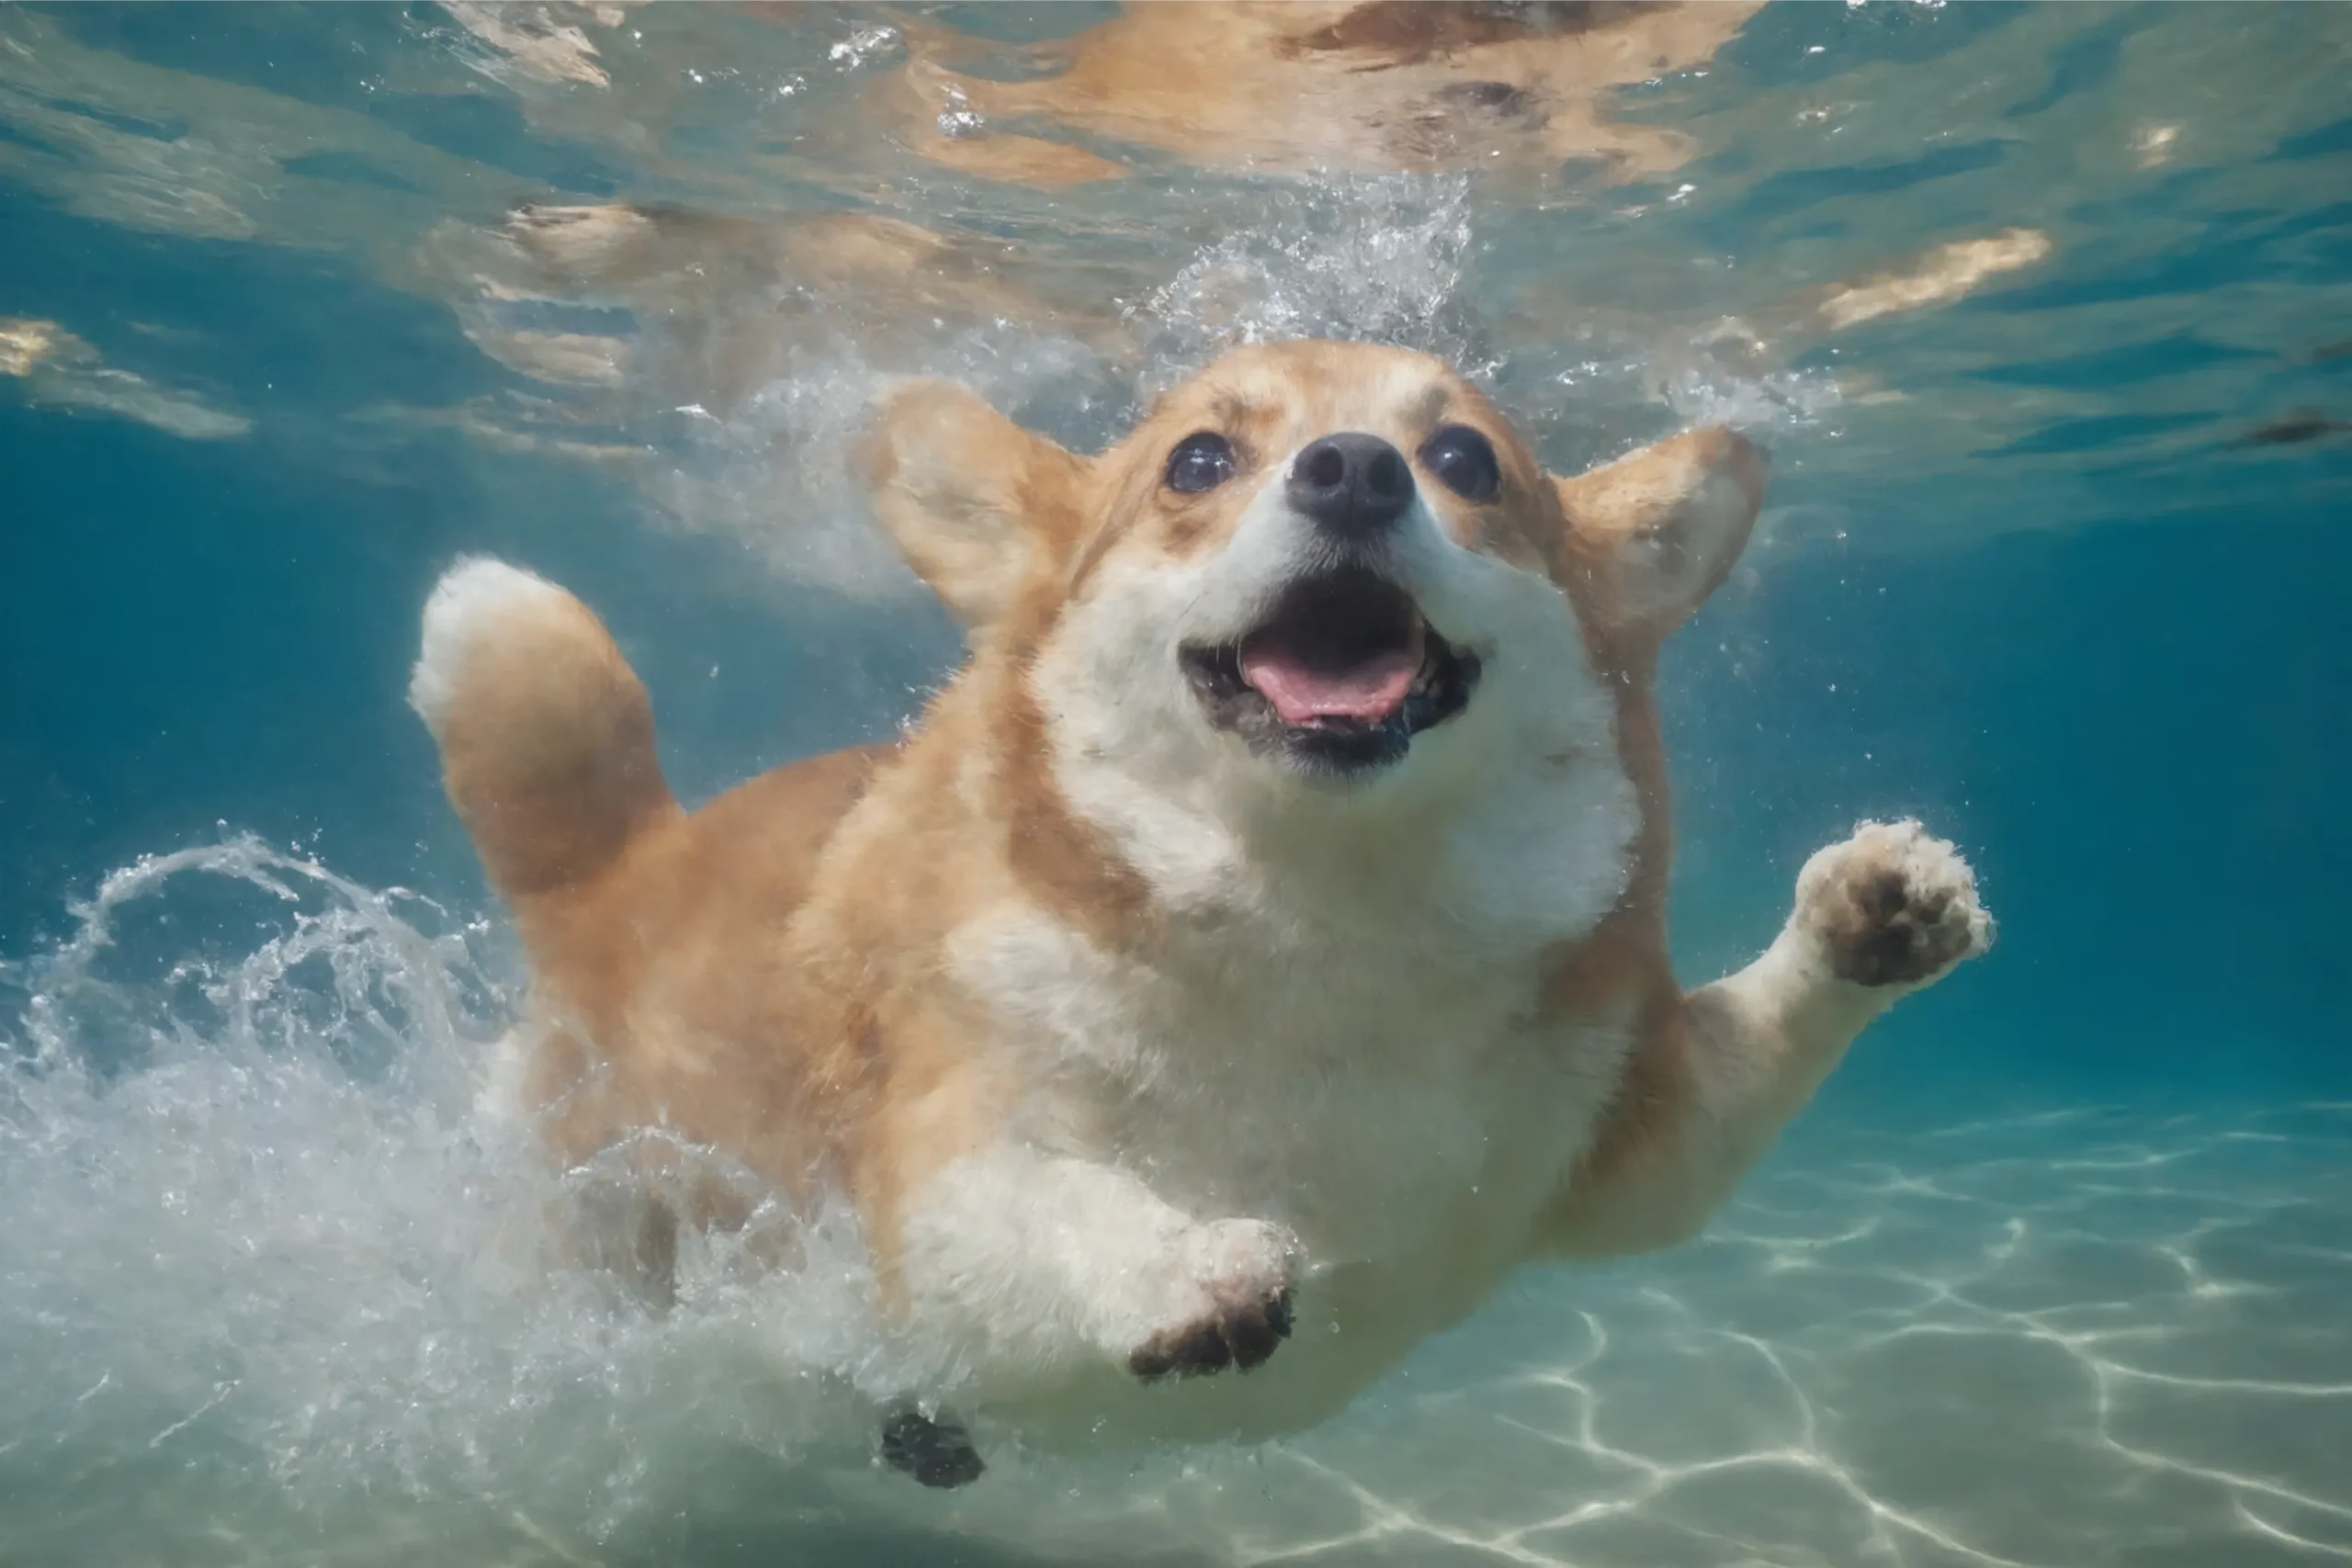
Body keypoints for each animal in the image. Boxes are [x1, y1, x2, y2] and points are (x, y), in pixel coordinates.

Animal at [409, 338, 1984, 1495]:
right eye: (1202, 460)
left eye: (1463, 458)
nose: (1351, 469)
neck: (1323, 907)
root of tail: (625, 866)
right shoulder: (936, 1168)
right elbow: (1030, 1205)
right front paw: (1182, 1260)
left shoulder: (1612, 1130)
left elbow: (1724, 1092)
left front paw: (1871, 916)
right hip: (598, 1215)